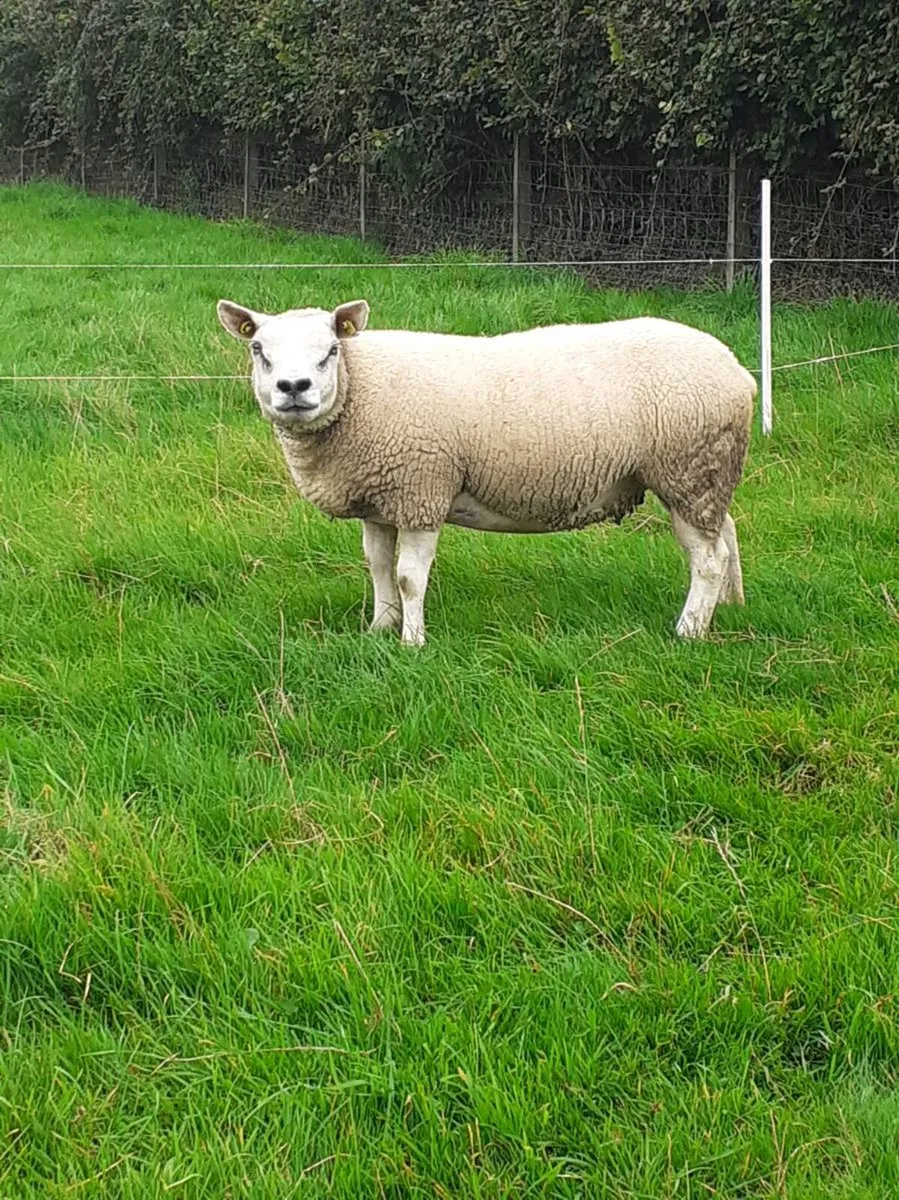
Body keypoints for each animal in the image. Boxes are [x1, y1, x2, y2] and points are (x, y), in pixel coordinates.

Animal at [217, 297, 756, 646]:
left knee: (707, 559)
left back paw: (689, 630)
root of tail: (739, 371)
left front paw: (411, 642)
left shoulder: (422, 488)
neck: (358, 388)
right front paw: (379, 628)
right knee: (726, 534)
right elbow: (377, 566)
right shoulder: (381, 498)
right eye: (258, 350)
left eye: (330, 349)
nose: (294, 387)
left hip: (688, 467)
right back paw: (730, 606)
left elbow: (409, 576)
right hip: (709, 472)